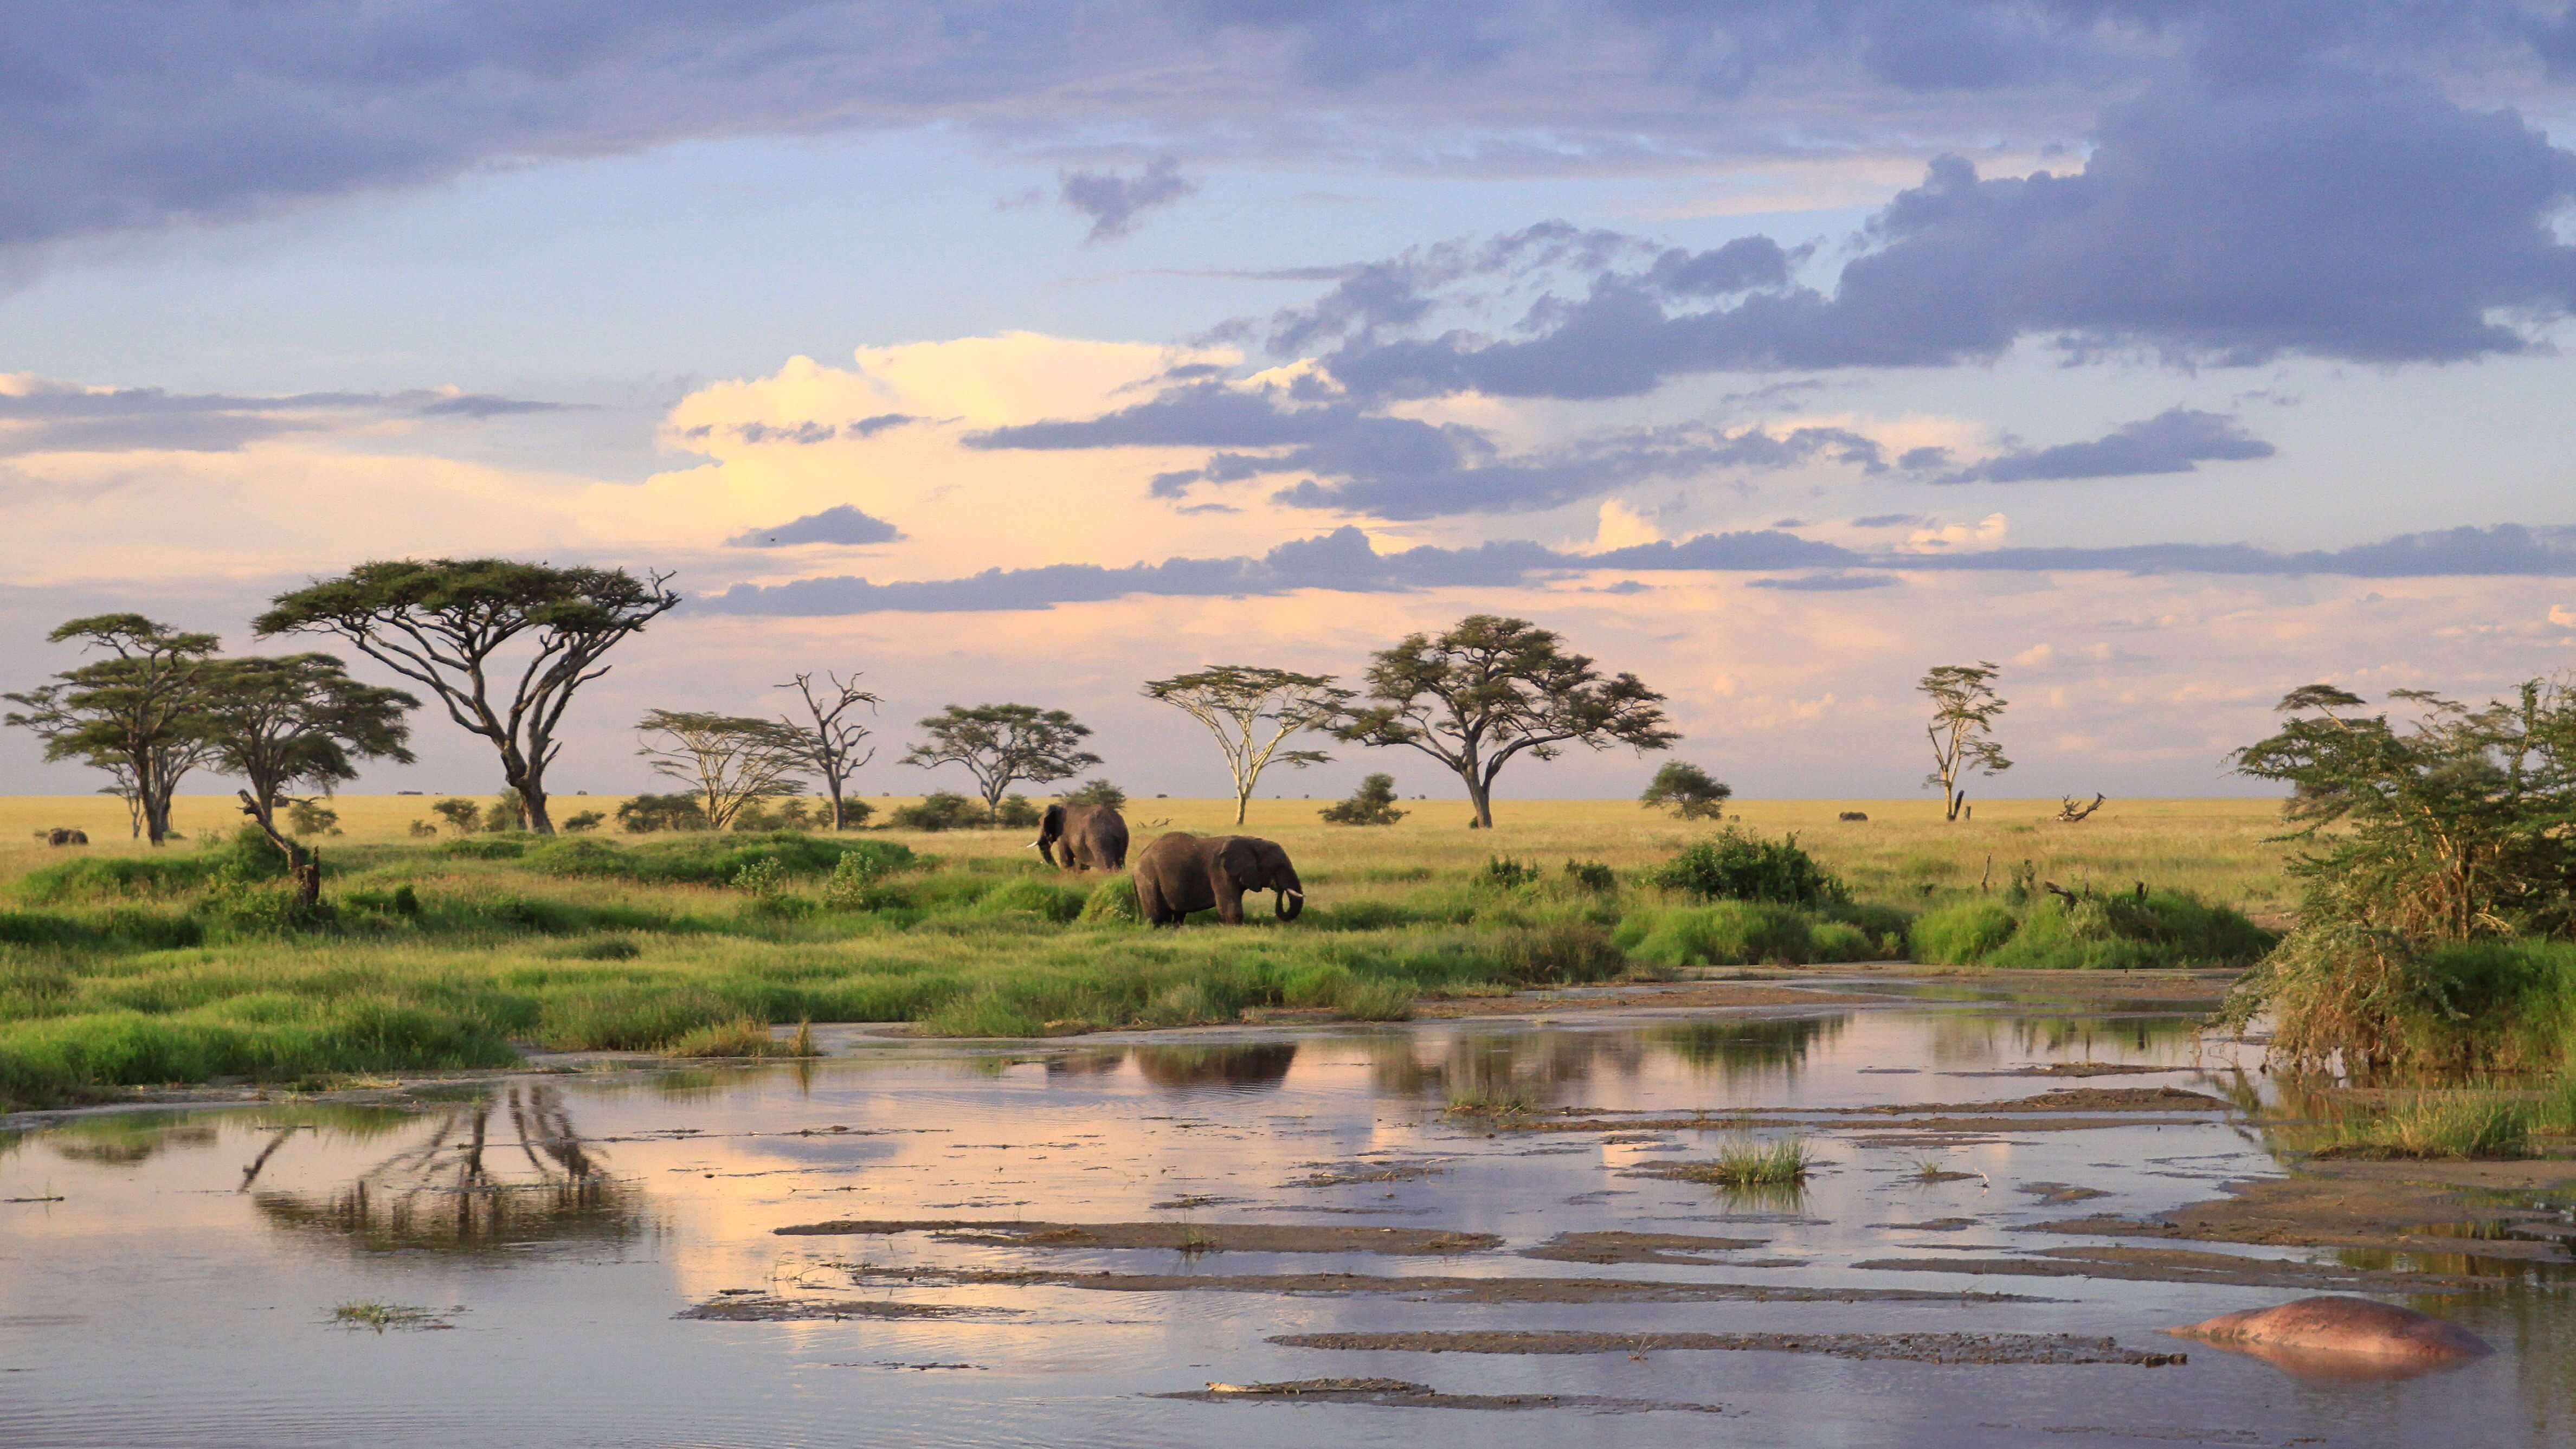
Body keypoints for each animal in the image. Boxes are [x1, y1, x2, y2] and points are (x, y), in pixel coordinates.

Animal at [1035, 799, 1128, 866]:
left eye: (1040, 823)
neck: (1059, 807)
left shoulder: (1062, 835)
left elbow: (1066, 861)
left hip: (1100, 839)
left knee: (1106, 863)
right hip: (1122, 838)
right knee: (1121, 862)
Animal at [1133, 830, 1309, 918]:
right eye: (1279, 866)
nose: (1279, 887)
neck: (1250, 842)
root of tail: (1137, 861)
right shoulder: (1220, 871)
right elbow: (1230, 908)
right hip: (1148, 879)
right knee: (1157, 916)